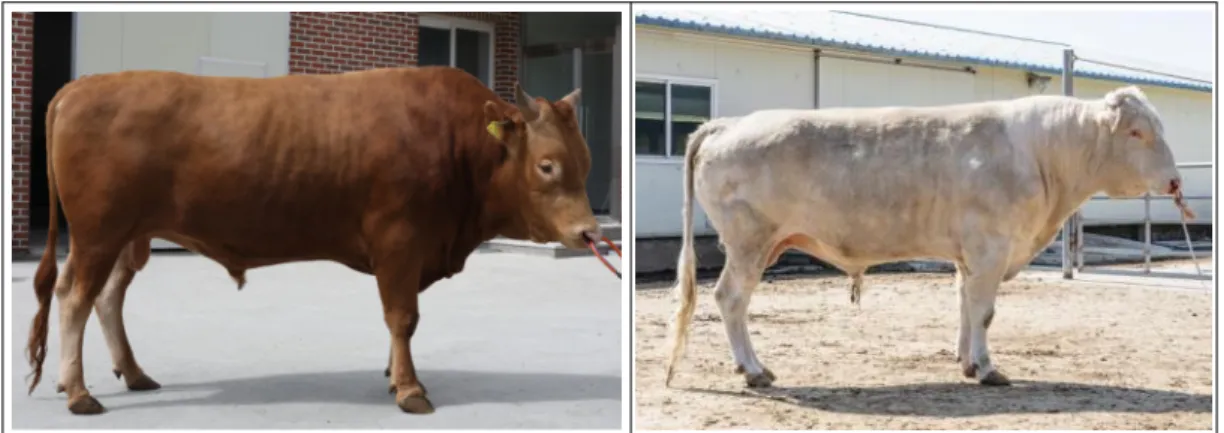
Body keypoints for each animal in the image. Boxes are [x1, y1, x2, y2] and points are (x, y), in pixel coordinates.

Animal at [24, 66, 602, 415]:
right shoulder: (399, 240)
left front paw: (394, 375)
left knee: (107, 298)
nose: (588, 232)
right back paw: (78, 391)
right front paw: (410, 389)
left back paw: (133, 372)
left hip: (129, 237)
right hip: (98, 234)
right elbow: (402, 316)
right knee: (74, 298)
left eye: (586, 161)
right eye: (547, 165)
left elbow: (400, 321)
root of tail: (79, 87)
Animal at [664, 86, 1185, 389]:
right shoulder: (992, 247)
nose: (1175, 180)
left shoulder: (969, 254)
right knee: (731, 299)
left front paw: (966, 361)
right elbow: (984, 310)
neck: (1044, 157)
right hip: (749, 242)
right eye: (1137, 133)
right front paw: (988, 368)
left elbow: (965, 304)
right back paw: (754, 370)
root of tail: (732, 123)